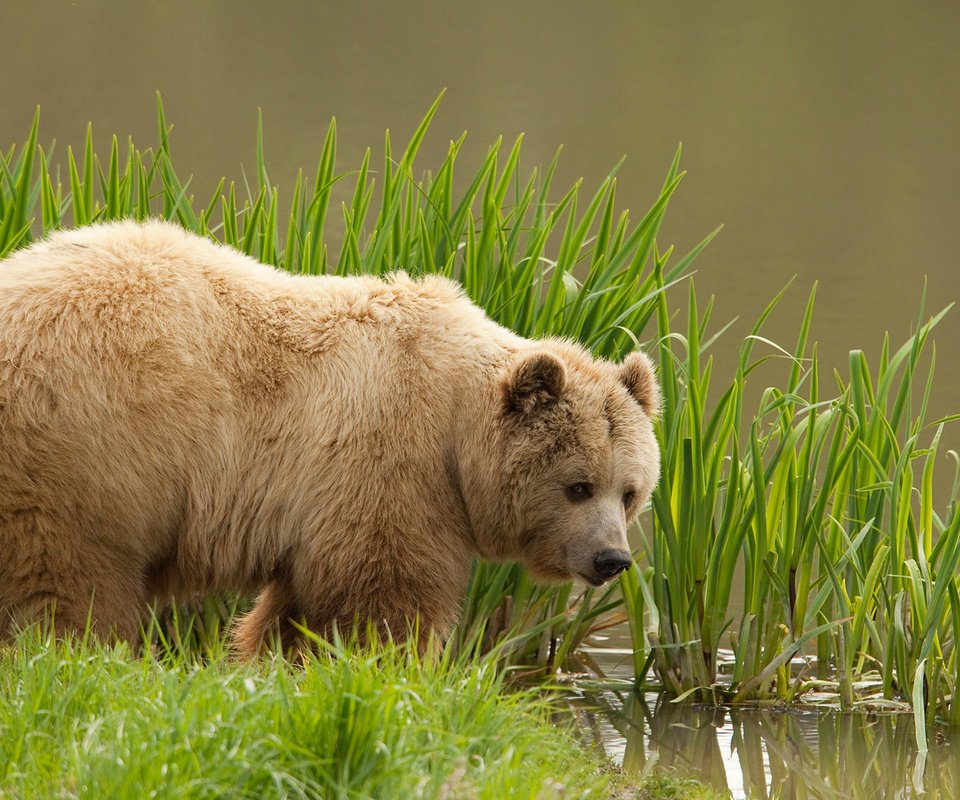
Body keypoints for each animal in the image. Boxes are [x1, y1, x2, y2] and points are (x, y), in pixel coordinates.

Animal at [0, 216, 660, 652]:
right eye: (578, 486)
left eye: (630, 491)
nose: (612, 558)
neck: (456, 432)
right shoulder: (387, 461)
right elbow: (382, 593)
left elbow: (295, 609)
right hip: (85, 448)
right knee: (67, 580)